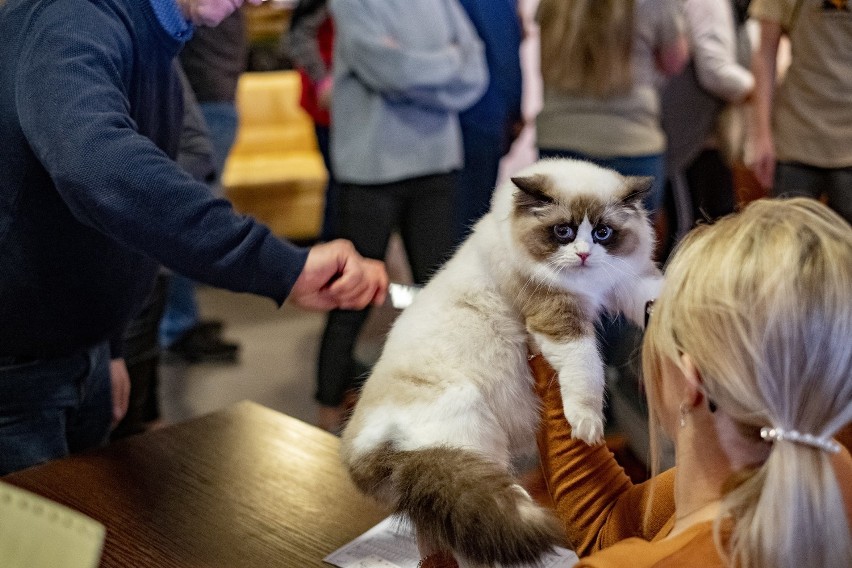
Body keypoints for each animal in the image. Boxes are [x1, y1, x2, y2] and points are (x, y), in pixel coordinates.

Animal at [340, 158, 660, 564]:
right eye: (563, 231)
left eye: (603, 233)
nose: (584, 254)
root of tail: (360, 452)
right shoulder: (559, 320)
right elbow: (586, 374)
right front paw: (589, 425)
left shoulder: (624, 282)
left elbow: (658, 294)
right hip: (469, 433)